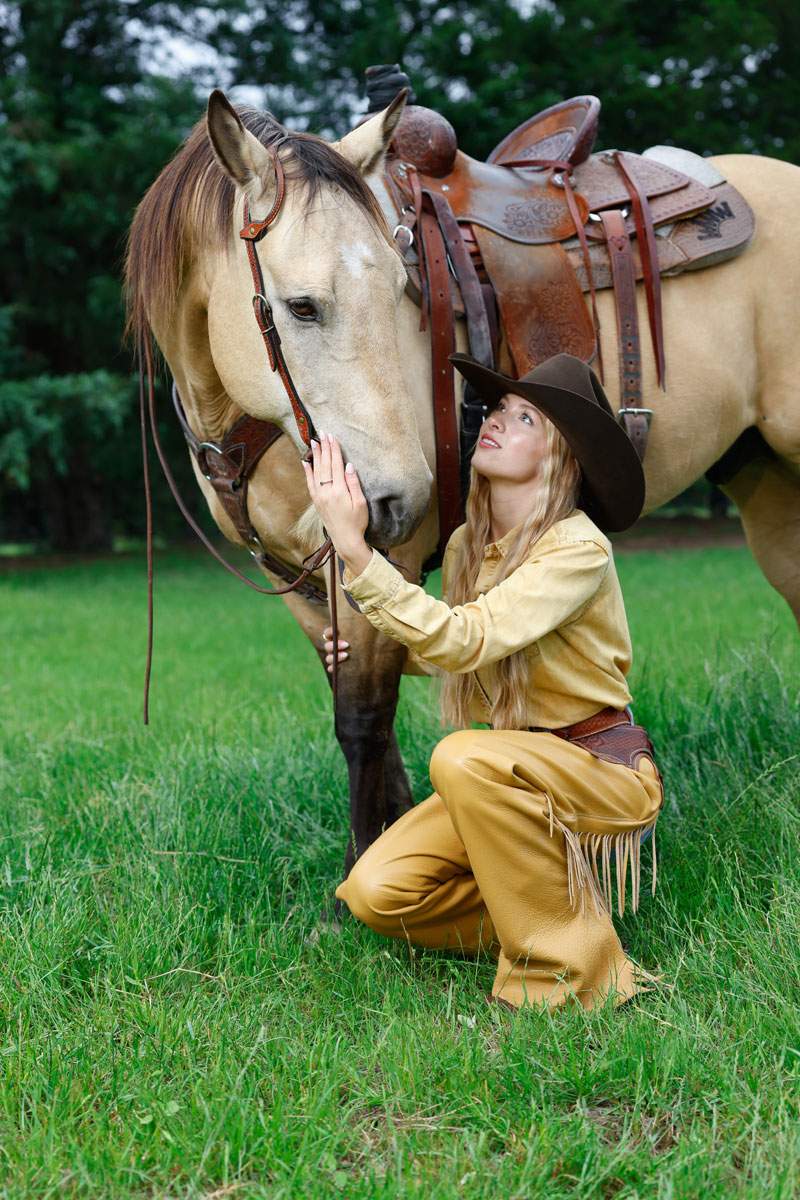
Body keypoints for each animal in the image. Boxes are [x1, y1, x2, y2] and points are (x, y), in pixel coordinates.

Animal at [125, 88, 800, 872]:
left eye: (402, 287)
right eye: (301, 306)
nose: (397, 497)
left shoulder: (380, 562)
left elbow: (363, 721)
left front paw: (359, 874)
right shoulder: (299, 581)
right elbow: (365, 723)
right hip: (763, 478)